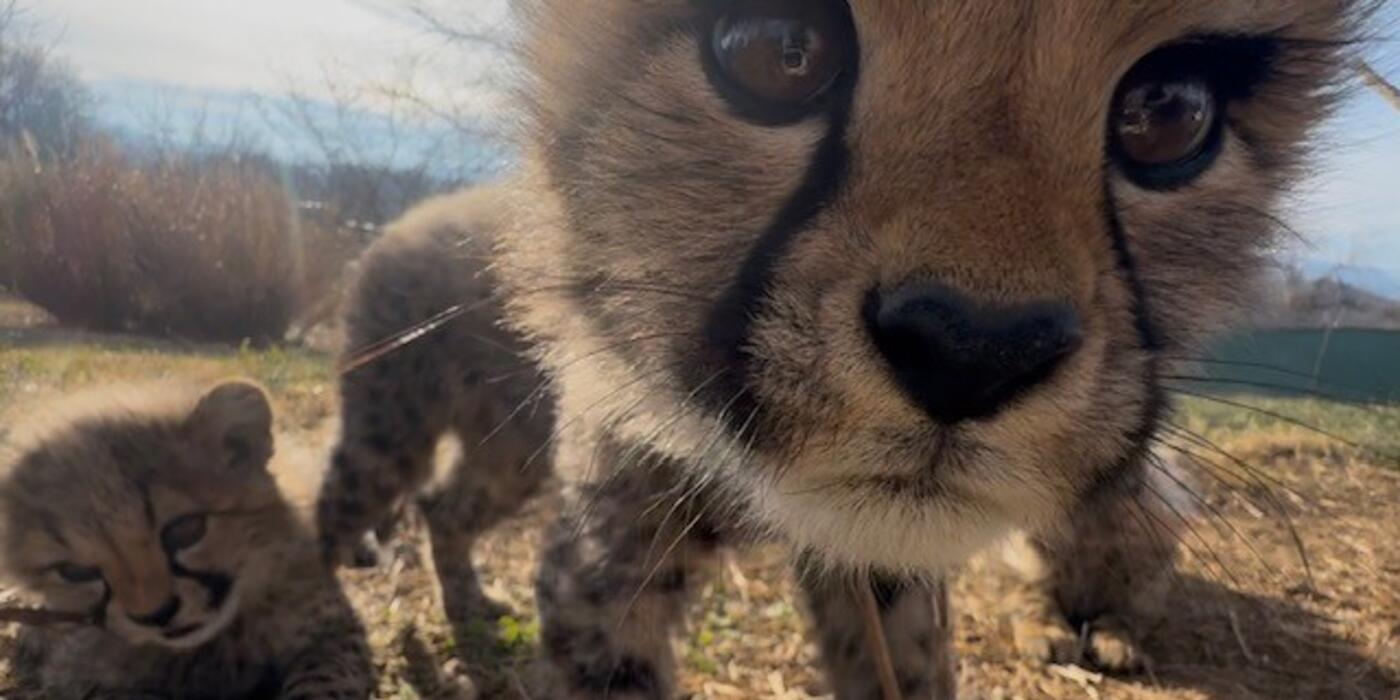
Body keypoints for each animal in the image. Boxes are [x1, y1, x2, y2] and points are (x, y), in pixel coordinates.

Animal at [0, 380, 373, 699]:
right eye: (75, 572)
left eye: (187, 529)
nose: (157, 615)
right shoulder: (80, 677)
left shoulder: (336, 632)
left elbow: (325, 681)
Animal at [316, 1, 1368, 697]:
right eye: (779, 53)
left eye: (1170, 112)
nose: (970, 350)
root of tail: (394, 221)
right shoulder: (608, 554)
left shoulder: (876, 556)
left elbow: (904, 659)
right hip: (402, 429)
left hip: (509, 453)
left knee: (445, 508)